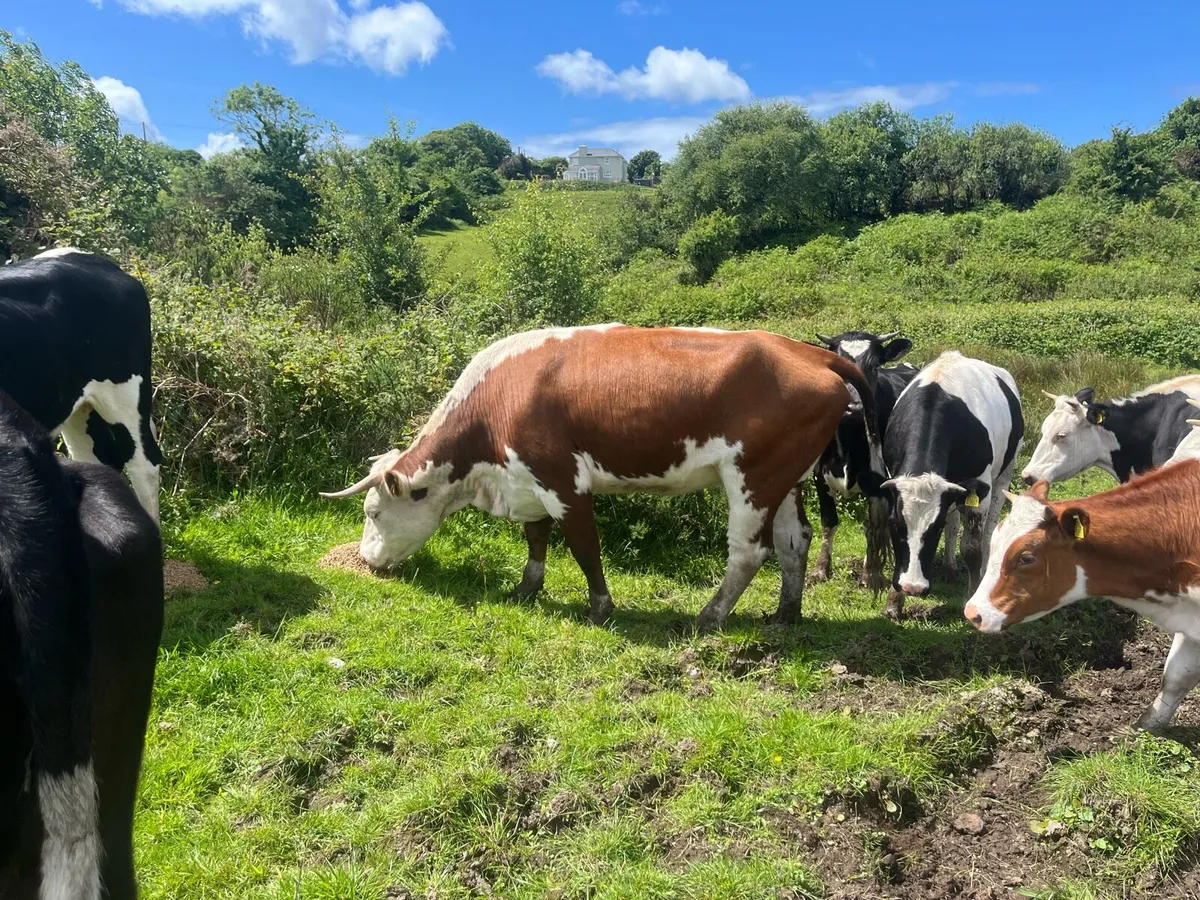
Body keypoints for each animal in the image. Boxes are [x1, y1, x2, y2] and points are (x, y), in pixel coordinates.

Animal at [321, 324, 883, 630]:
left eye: (374, 512)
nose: (366, 559)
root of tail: (810, 352)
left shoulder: (562, 481)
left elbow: (584, 545)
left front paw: (600, 606)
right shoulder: (527, 481)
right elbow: (536, 537)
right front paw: (527, 588)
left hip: (752, 476)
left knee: (749, 551)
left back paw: (709, 616)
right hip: (787, 477)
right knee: (794, 541)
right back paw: (787, 612)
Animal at [809, 331, 918, 591]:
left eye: (874, 365)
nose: (854, 407)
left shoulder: (878, 483)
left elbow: (872, 527)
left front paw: (870, 576)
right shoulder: (819, 477)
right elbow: (828, 522)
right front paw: (820, 570)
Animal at [878, 351, 1023, 617]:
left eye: (935, 527)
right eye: (895, 524)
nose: (913, 587)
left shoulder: (980, 488)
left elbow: (972, 549)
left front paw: (972, 595)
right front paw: (893, 603)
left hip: (1005, 473)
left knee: (989, 530)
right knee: (955, 523)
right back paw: (949, 567)